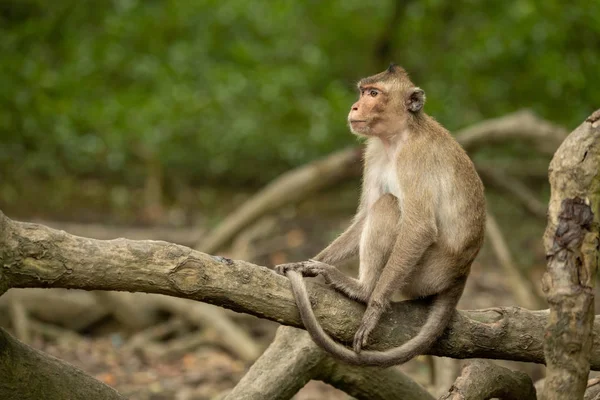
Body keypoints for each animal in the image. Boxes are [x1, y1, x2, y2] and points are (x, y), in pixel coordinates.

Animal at [274, 64, 486, 368]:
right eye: (363, 91)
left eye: (374, 94)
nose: (355, 106)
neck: (398, 137)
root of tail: (462, 272)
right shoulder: (373, 151)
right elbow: (364, 216)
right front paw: (306, 263)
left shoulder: (415, 159)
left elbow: (419, 227)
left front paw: (373, 309)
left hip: (425, 273)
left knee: (389, 205)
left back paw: (363, 290)